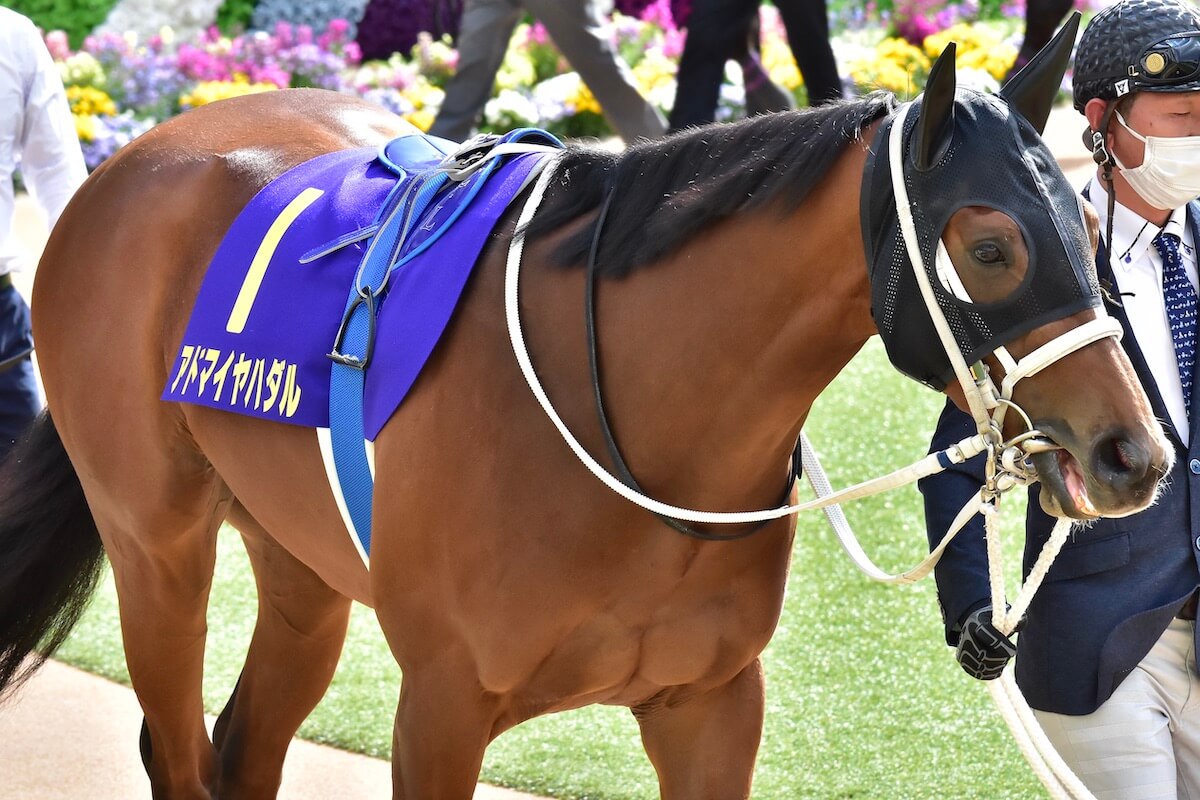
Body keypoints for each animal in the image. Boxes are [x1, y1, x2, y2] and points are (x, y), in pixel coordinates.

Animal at [0, 31, 1171, 800]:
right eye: (991, 244)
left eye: (1087, 221)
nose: (1135, 452)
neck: (641, 433)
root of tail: (126, 166)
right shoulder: (442, 707)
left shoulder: (711, 706)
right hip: (157, 550)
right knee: (178, 745)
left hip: (300, 566)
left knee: (245, 745)